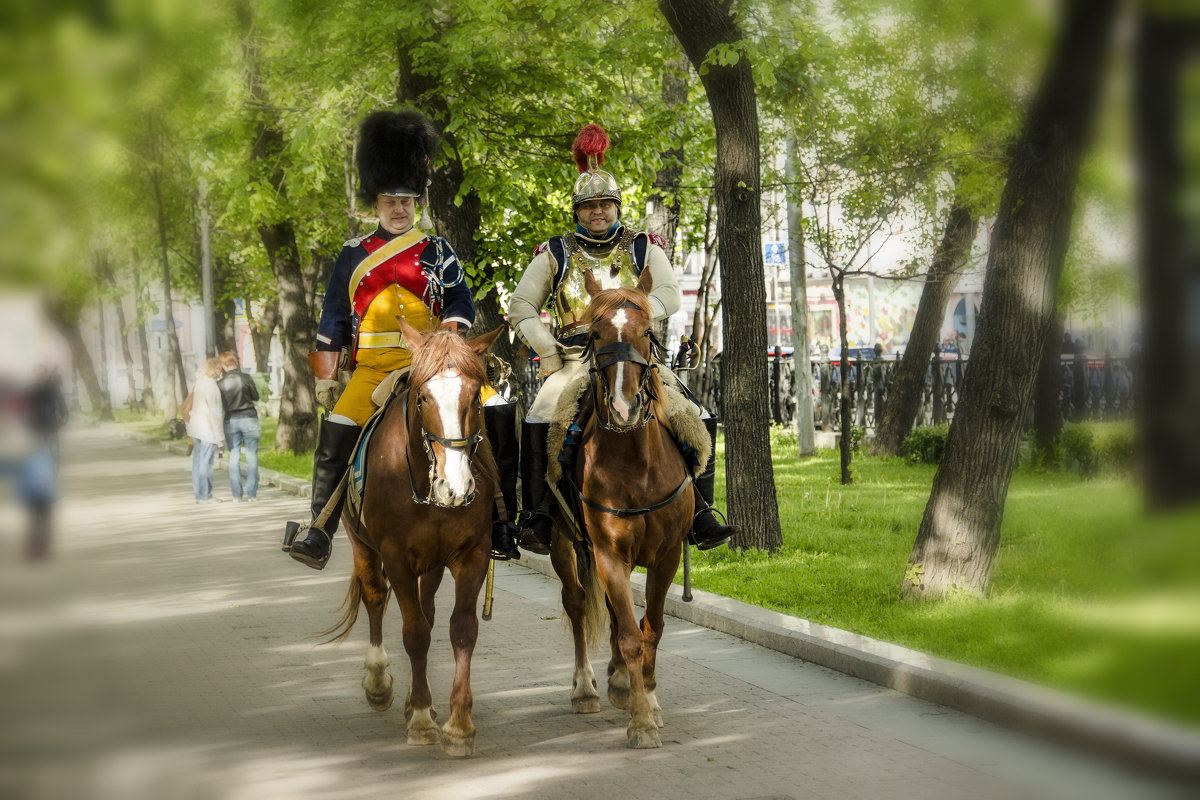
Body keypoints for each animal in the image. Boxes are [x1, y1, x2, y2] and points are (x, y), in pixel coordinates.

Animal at [324, 319, 501, 758]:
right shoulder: (397, 558)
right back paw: (379, 683)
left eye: (474, 396)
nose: (456, 486)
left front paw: (458, 725)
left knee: (427, 609)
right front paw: (421, 718)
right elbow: (414, 633)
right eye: (423, 397)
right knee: (375, 598)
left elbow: (461, 629)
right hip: (363, 546)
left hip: (433, 564)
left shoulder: (471, 554)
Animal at [549, 268, 696, 753]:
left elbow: (652, 627)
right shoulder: (608, 553)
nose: (622, 406)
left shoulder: (667, 555)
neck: (636, 460)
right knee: (577, 603)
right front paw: (641, 721)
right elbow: (631, 635)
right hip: (564, 542)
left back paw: (618, 683)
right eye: (595, 334)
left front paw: (648, 697)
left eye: (647, 332)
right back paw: (586, 688)